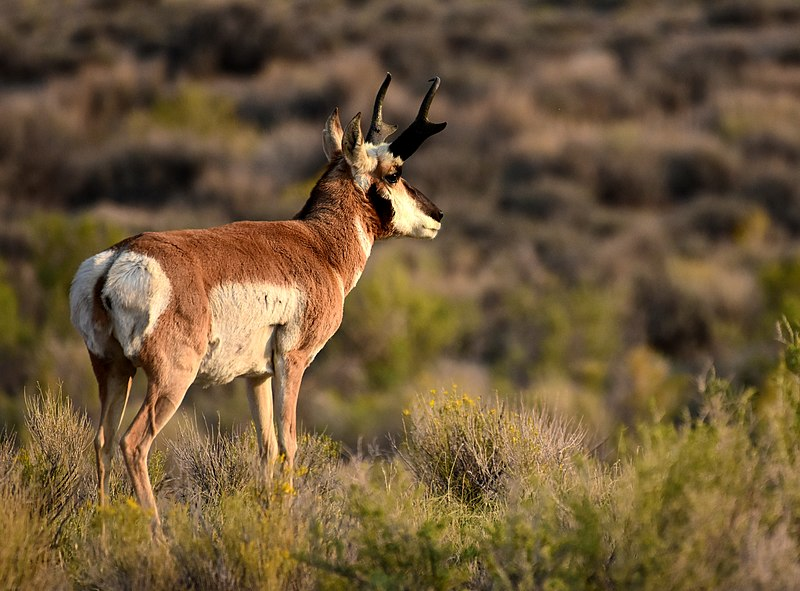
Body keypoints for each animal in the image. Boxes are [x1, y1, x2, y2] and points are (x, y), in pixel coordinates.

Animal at [69, 74, 446, 524]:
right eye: (394, 173)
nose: (438, 215)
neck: (318, 245)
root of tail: (118, 258)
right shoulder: (293, 361)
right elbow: (288, 444)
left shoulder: (257, 375)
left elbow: (266, 447)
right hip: (171, 379)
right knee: (133, 443)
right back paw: (157, 535)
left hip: (113, 371)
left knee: (103, 443)